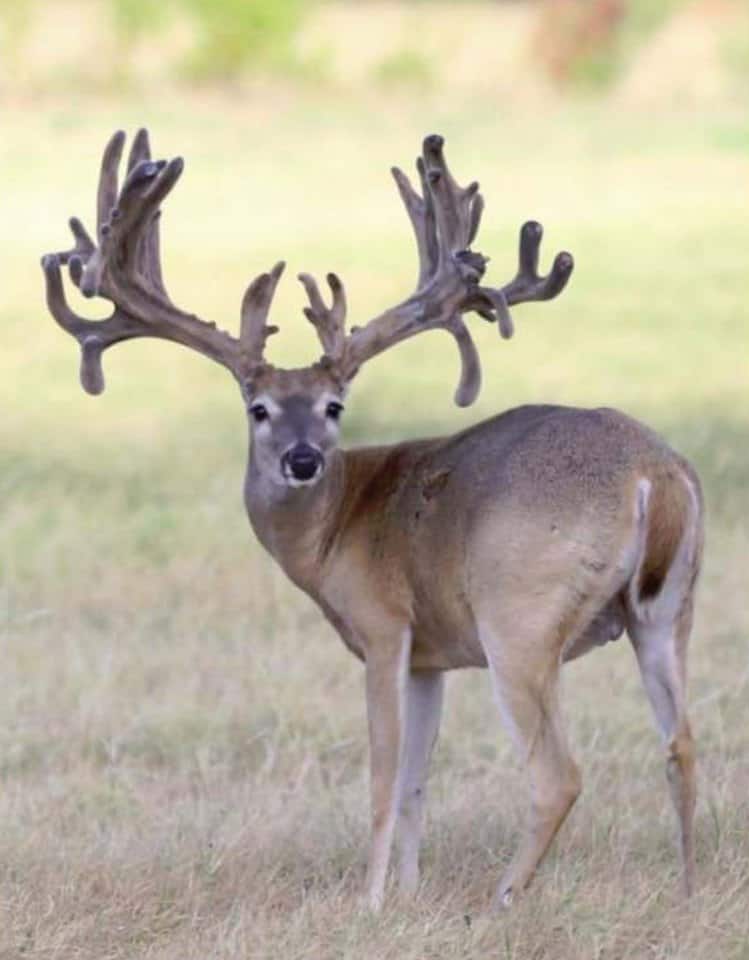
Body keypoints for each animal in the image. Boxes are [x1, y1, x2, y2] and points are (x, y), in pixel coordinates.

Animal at [41, 129, 703, 912]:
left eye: (335, 406)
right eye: (258, 408)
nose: (301, 459)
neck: (334, 534)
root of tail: (652, 473)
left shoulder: (384, 626)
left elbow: (384, 778)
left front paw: (372, 901)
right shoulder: (431, 656)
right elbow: (418, 779)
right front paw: (410, 895)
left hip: (520, 614)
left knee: (557, 775)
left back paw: (501, 902)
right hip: (667, 609)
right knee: (682, 744)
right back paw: (690, 888)